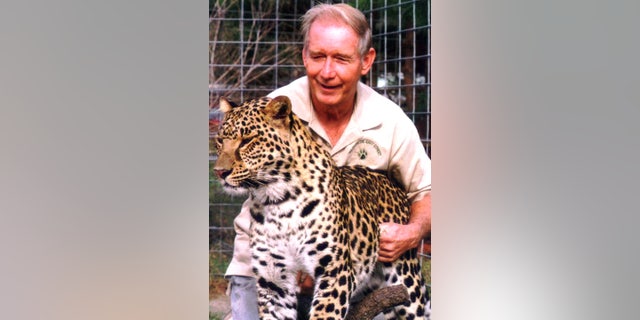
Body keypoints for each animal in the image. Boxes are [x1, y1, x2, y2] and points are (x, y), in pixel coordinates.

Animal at [215, 95, 430, 320]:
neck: (276, 199)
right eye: (220, 141)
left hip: (406, 280)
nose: (220, 172)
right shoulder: (274, 281)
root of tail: (393, 184)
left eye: (247, 141)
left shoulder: (335, 271)